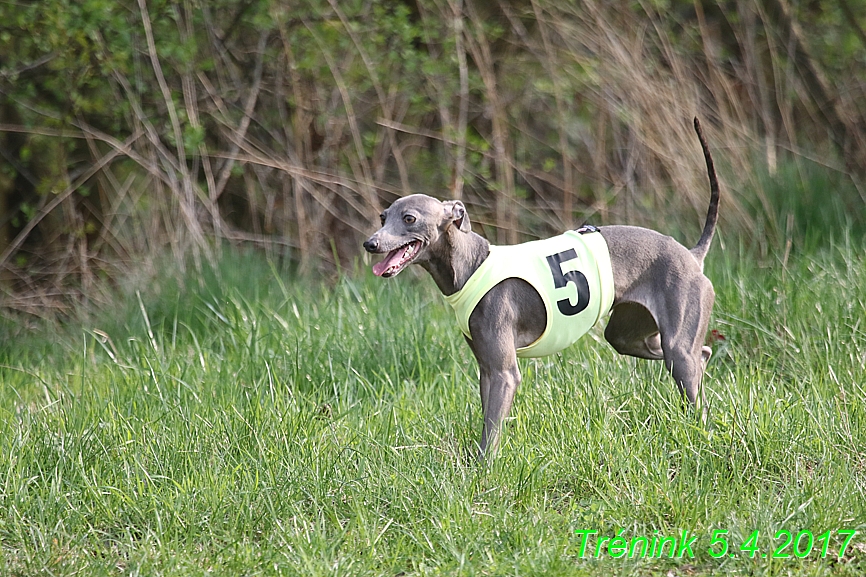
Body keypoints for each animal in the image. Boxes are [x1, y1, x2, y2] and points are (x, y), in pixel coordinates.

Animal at [362, 118, 720, 460]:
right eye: (383, 216)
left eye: (409, 219)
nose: (370, 244)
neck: (471, 263)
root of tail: (692, 255)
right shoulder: (487, 369)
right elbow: (487, 420)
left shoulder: (505, 373)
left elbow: (492, 433)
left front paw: (483, 471)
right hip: (628, 335)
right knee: (700, 353)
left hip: (675, 343)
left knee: (689, 366)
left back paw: (700, 434)